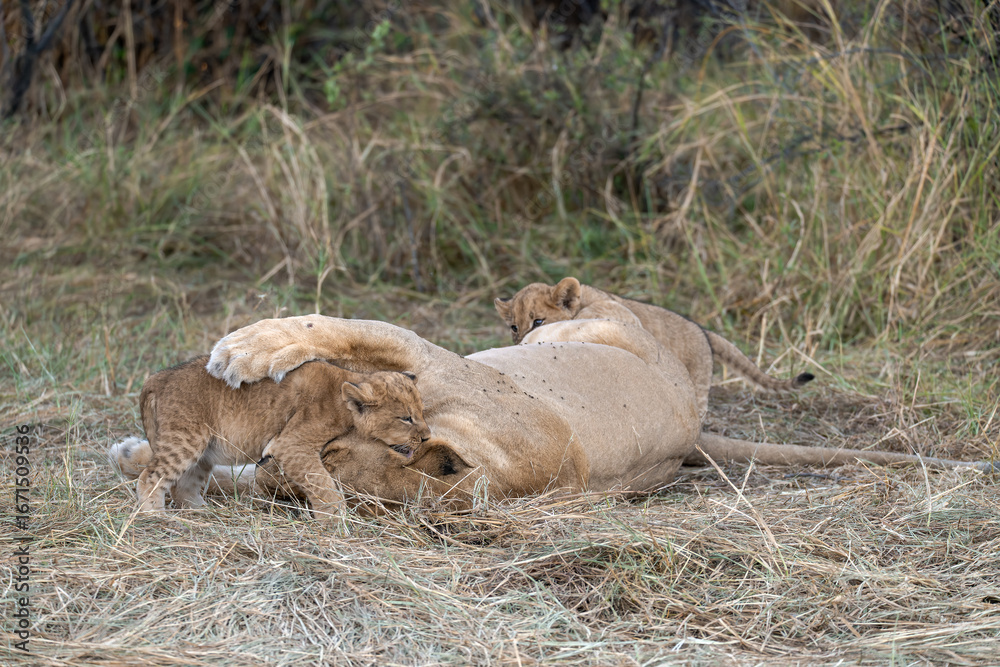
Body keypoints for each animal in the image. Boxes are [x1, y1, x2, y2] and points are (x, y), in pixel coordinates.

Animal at [132, 355, 430, 518]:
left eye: (421, 412)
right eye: (406, 418)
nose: (427, 437)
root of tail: (159, 377)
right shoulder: (291, 444)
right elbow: (323, 484)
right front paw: (337, 521)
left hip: (205, 450)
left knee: (183, 486)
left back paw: (203, 513)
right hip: (186, 438)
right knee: (150, 476)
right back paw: (158, 517)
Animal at [495, 277, 814, 418]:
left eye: (538, 320)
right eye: (514, 327)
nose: (519, 342)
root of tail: (704, 332)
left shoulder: (621, 312)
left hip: (698, 385)